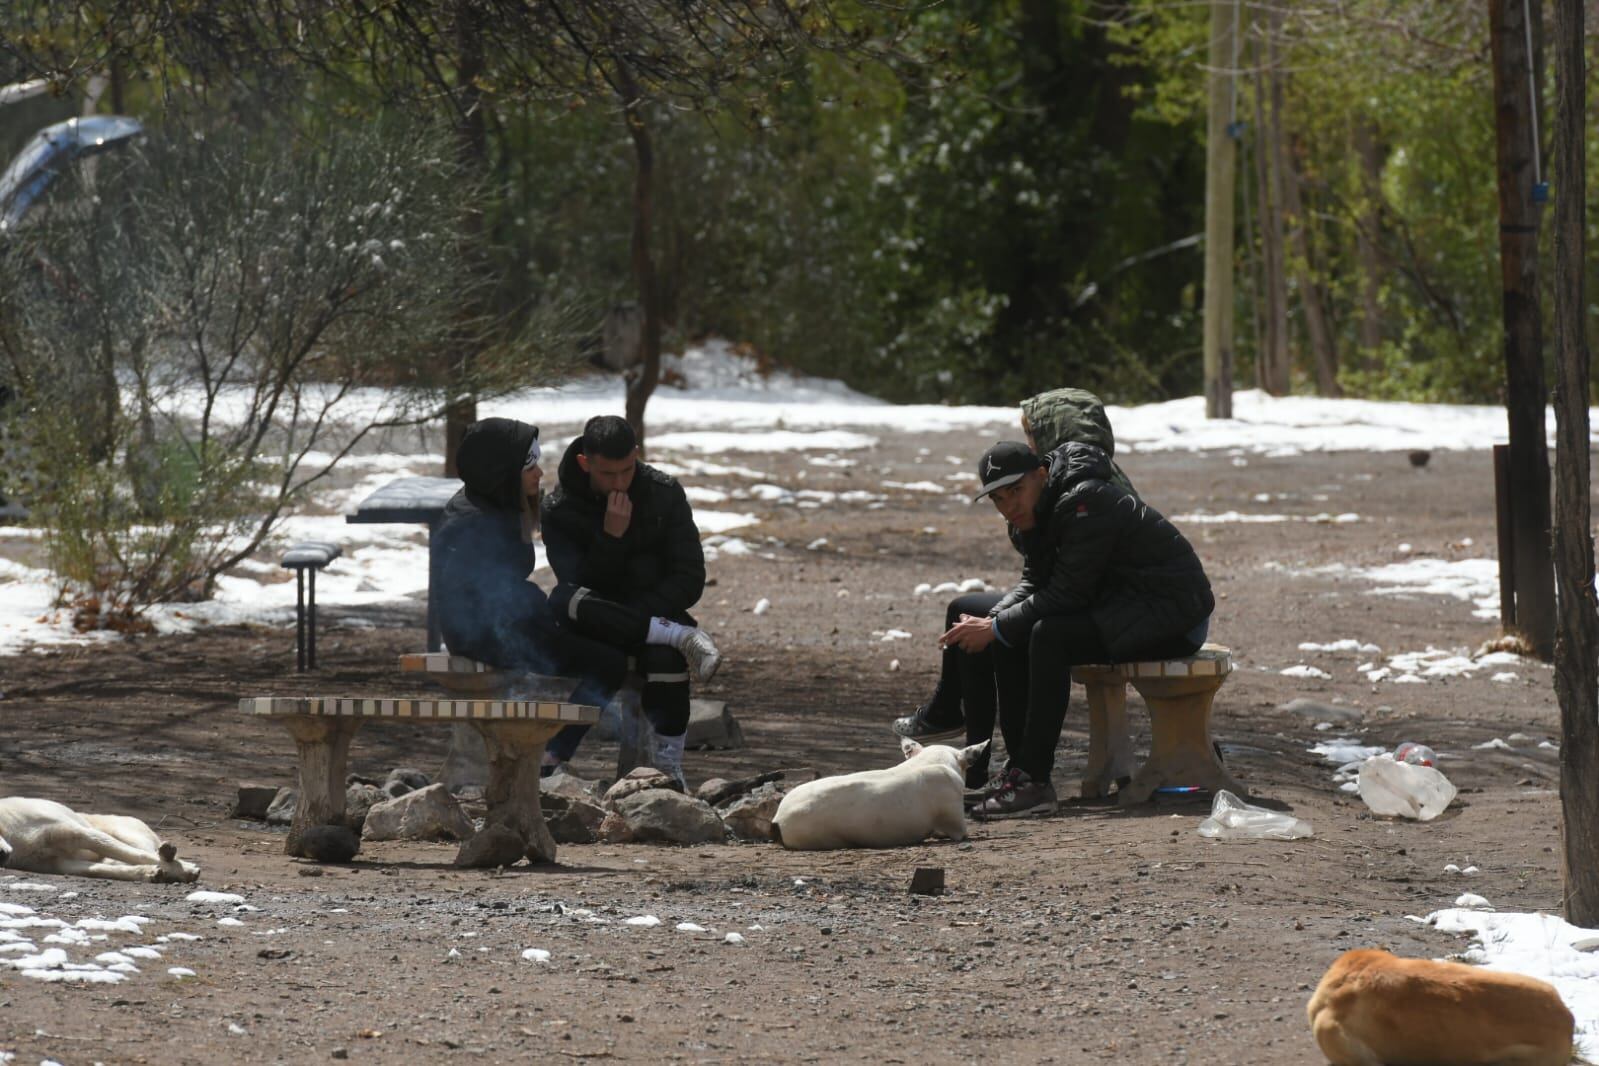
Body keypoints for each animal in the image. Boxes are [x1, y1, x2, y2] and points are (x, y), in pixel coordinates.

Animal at [0, 795, 201, 888]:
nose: (2, 855)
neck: (12, 834)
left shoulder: (78, 833)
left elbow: (139, 855)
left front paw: (189, 871)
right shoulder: (58, 864)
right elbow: (100, 870)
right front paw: (149, 874)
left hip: (125, 834)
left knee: (150, 852)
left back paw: (173, 859)